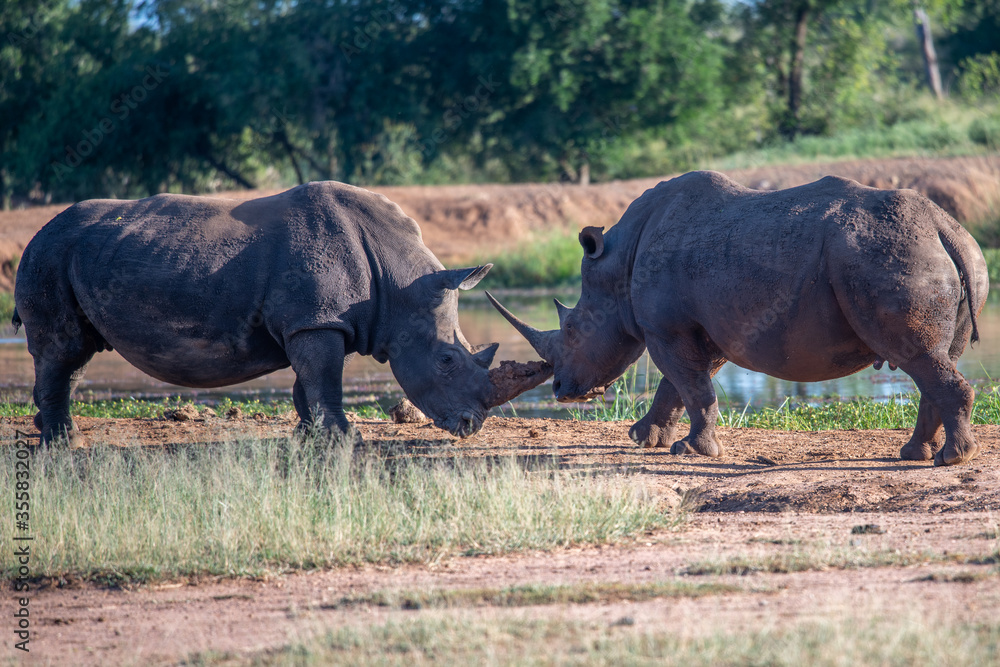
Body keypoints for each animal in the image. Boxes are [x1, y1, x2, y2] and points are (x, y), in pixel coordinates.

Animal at [13, 181, 550, 445]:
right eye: (446, 360)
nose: (470, 427)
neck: (398, 283)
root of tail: (36, 234)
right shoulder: (316, 320)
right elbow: (325, 379)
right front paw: (344, 440)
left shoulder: (318, 319)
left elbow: (306, 382)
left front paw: (308, 437)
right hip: (47, 256)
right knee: (63, 350)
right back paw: (62, 443)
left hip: (70, 255)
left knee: (75, 354)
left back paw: (51, 432)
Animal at [489, 171, 989, 466]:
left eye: (573, 330)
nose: (560, 390)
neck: (620, 260)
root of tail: (943, 226)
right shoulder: (702, 329)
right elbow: (682, 386)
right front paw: (644, 440)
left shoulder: (666, 327)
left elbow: (690, 386)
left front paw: (691, 451)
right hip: (955, 257)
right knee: (933, 359)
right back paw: (914, 455)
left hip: (888, 256)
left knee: (918, 357)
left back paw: (951, 459)